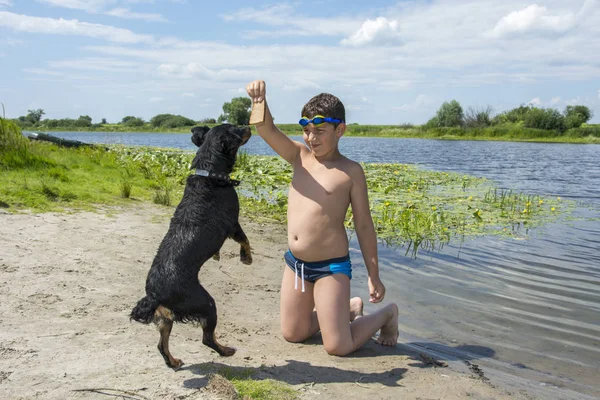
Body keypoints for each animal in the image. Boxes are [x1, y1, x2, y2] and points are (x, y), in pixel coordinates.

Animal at [130, 123, 252, 370]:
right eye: (236, 128)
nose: (249, 126)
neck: (209, 173)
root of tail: (154, 295)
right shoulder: (232, 223)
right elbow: (244, 239)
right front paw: (247, 257)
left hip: (166, 317)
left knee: (162, 344)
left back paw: (174, 361)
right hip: (206, 304)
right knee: (207, 339)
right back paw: (226, 351)